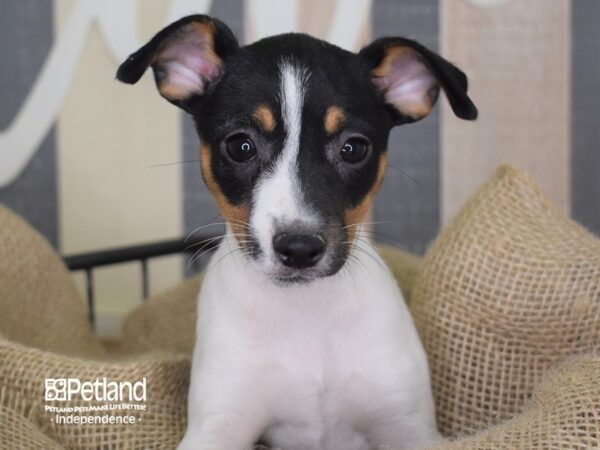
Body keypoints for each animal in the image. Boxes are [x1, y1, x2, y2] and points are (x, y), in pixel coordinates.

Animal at [116, 14, 474, 450]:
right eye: (240, 146)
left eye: (355, 148)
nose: (300, 249)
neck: (304, 313)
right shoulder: (216, 427)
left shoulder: (409, 428)